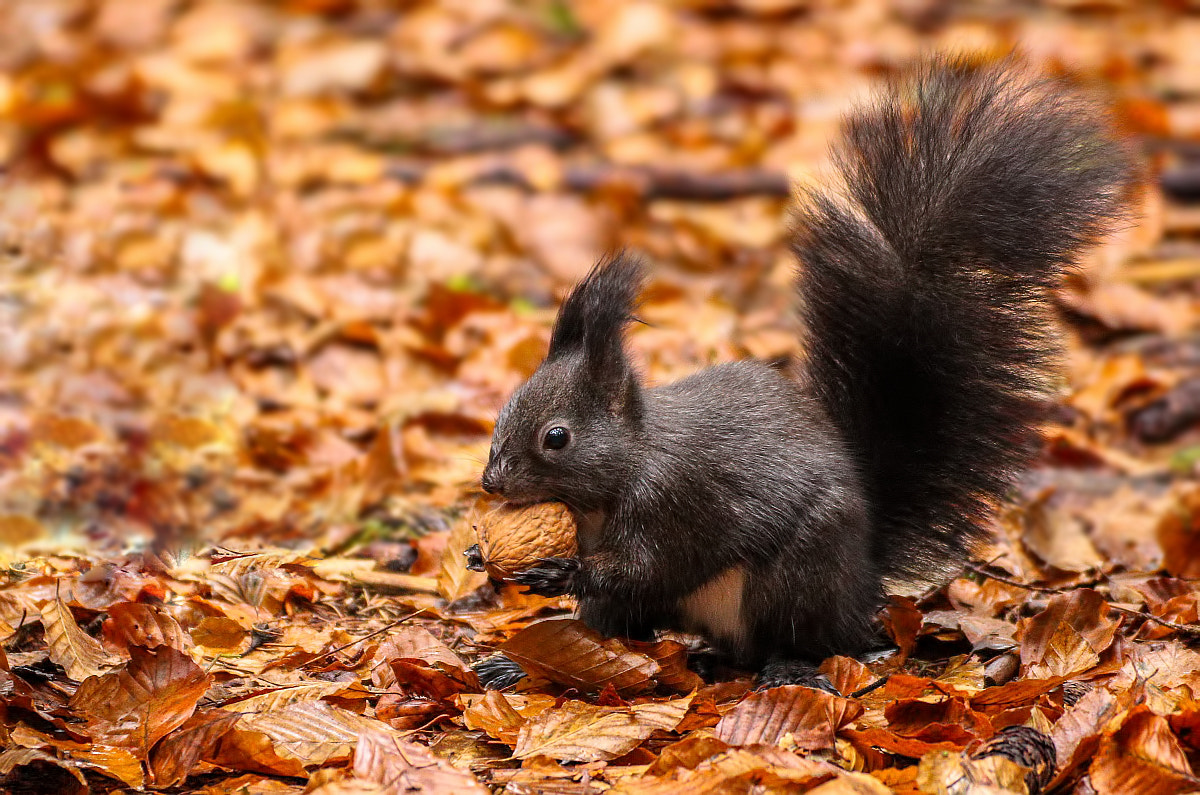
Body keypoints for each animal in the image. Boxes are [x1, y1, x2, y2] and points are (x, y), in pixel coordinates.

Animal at [475, 57, 1132, 691]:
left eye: (556, 437)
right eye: (502, 412)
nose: (491, 483)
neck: (625, 469)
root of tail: (860, 586)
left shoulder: (676, 503)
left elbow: (649, 564)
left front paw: (560, 569)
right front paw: (484, 560)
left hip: (798, 576)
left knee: (800, 639)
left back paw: (790, 668)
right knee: (613, 626)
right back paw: (518, 667)